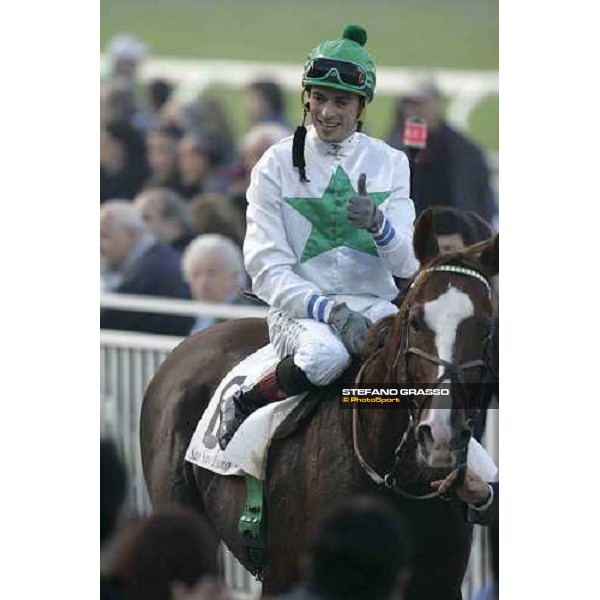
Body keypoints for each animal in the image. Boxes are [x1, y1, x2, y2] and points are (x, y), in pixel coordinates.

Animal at [139, 207, 496, 600]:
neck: (393, 478)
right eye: (415, 321)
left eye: (487, 327)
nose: (441, 435)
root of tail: (188, 344)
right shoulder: (283, 578)